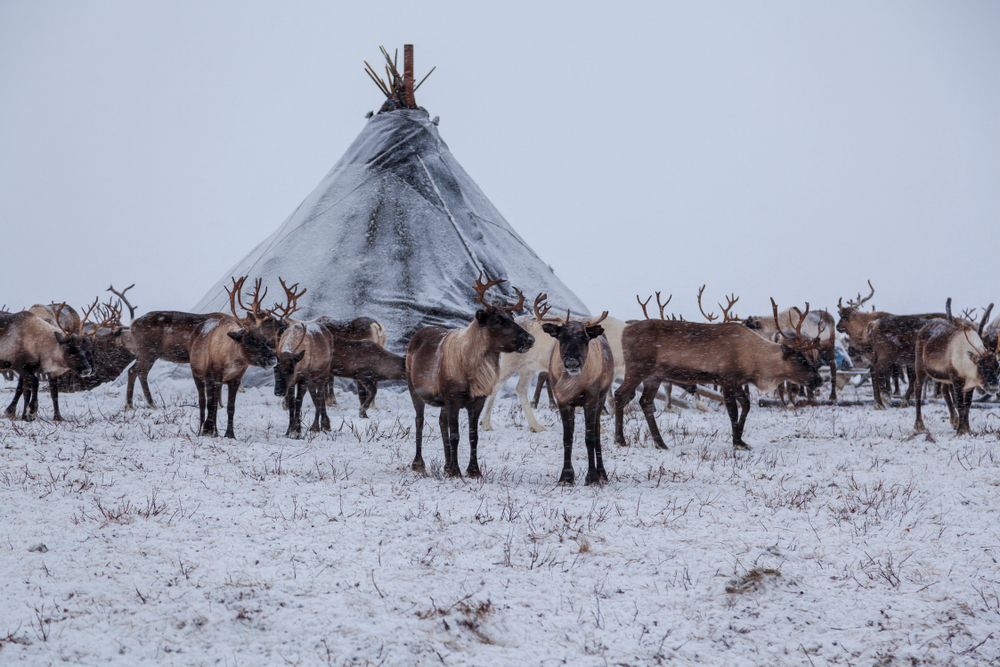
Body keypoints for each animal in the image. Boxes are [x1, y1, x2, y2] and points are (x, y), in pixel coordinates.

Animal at [189, 277, 281, 438]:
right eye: (250, 340)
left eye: (264, 339)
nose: (272, 359)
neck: (230, 360)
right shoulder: (211, 377)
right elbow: (210, 404)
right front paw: (207, 430)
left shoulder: (234, 380)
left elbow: (230, 407)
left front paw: (229, 434)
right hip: (197, 374)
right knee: (202, 402)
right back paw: (201, 429)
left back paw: (215, 431)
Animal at [406, 273, 534, 478]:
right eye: (497, 319)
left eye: (512, 316)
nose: (530, 339)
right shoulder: (452, 398)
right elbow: (456, 435)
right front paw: (456, 471)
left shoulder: (478, 399)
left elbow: (473, 435)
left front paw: (473, 470)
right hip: (413, 388)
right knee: (419, 420)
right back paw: (419, 463)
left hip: (441, 402)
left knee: (441, 422)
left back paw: (446, 465)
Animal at [533, 295, 614, 485]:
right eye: (561, 338)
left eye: (585, 339)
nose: (572, 362)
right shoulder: (563, 402)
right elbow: (567, 438)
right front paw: (566, 476)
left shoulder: (591, 399)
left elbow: (589, 438)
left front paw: (592, 477)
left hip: (602, 397)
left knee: (597, 433)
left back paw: (602, 474)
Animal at [614, 296, 823, 451]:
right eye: (800, 360)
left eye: (809, 358)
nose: (819, 380)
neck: (755, 360)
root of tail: (624, 331)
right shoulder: (727, 379)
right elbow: (732, 411)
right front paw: (736, 442)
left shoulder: (738, 382)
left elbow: (746, 405)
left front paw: (741, 439)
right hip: (637, 369)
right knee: (620, 394)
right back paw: (620, 439)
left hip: (654, 376)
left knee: (645, 402)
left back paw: (660, 442)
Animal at [914, 303, 999, 435]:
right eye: (980, 365)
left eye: (997, 365)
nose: (994, 386)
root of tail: (922, 328)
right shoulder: (957, 380)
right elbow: (960, 405)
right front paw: (960, 431)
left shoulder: (970, 385)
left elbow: (967, 405)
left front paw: (967, 429)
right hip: (920, 367)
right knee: (917, 391)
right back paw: (919, 425)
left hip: (944, 376)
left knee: (943, 390)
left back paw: (953, 420)